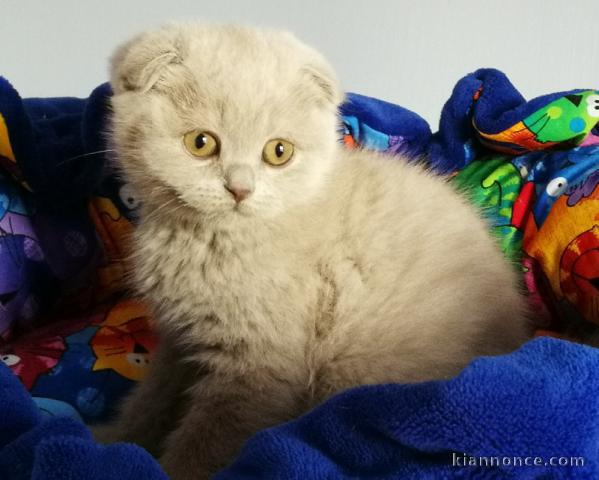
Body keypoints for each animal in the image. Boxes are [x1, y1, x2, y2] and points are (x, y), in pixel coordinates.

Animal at [96, 23, 532, 480]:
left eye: (278, 152)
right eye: (200, 143)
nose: (240, 189)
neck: (208, 241)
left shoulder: (257, 364)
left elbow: (210, 437)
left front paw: (171, 468)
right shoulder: (178, 339)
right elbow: (151, 400)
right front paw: (112, 439)